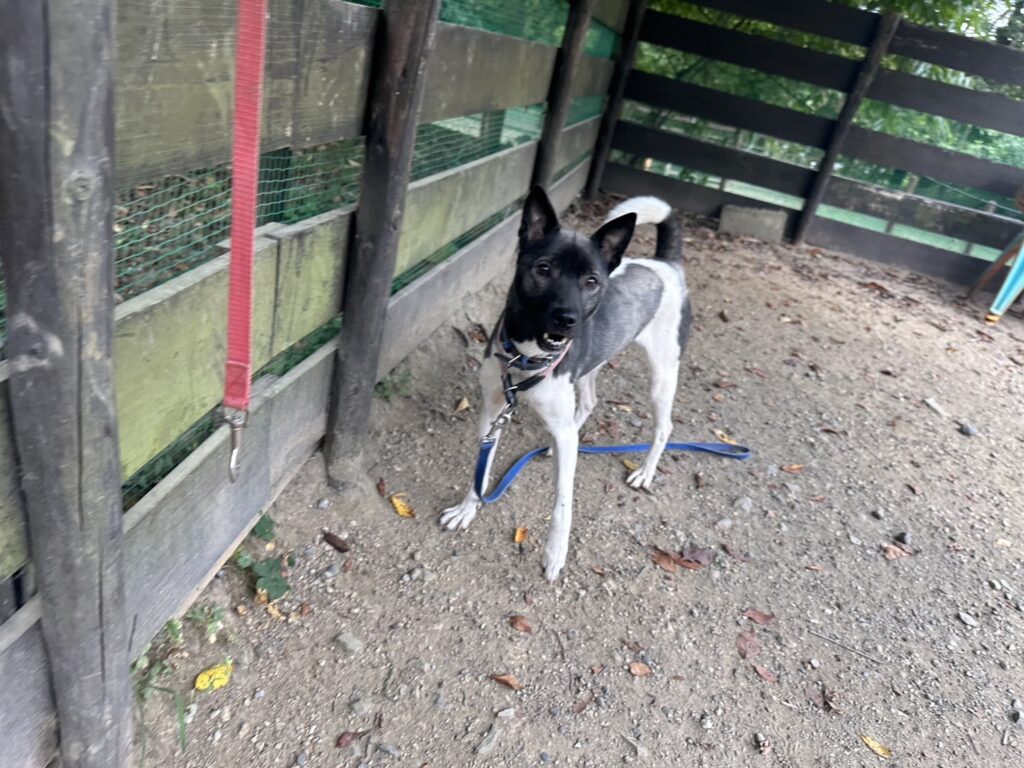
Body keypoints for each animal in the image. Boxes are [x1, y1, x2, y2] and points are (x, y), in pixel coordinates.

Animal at [440, 186, 691, 580]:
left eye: (592, 281)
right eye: (544, 269)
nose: (568, 319)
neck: (526, 357)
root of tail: (666, 264)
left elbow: (562, 501)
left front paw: (555, 552)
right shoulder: (493, 410)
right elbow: (482, 466)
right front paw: (468, 508)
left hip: (662, 375)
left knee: (663, 426)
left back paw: (645, 473)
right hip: (590, 366)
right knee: (587, 404)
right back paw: (554, 445)